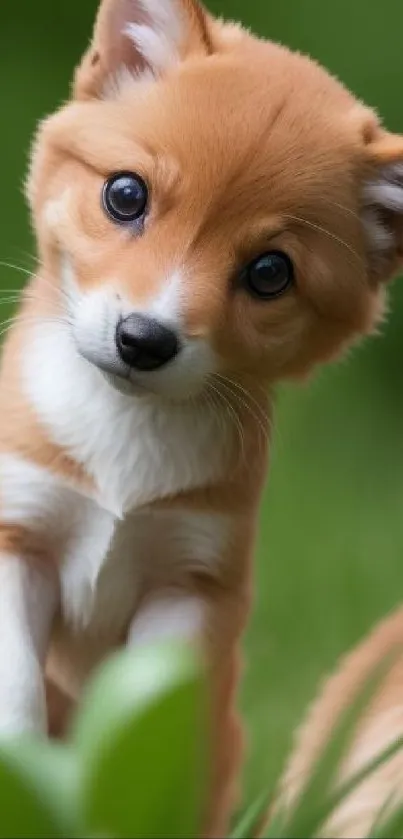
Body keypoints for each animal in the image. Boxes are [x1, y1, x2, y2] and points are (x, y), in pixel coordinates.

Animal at [2, 0, 403, 832]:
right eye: (126, 195)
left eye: (269, 272)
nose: (143, 339)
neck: (122, 448)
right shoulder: (17, 534)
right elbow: (16, 700)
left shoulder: (189, 584)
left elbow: (150, 737)